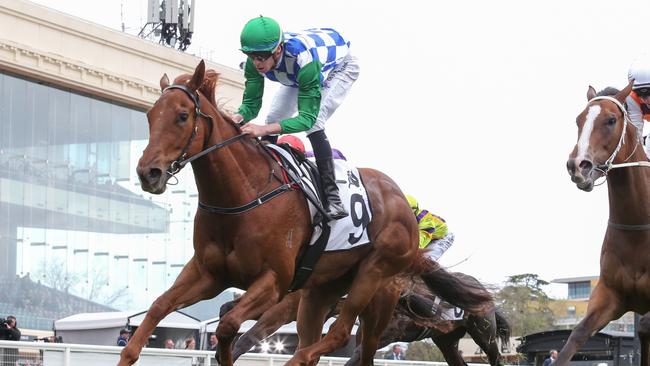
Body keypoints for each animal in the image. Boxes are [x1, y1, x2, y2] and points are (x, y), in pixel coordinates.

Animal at [117, 60, 492, 366]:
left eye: (182, 116)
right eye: (150, 116)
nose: (148, 173)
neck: (245, 195)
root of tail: (401, 201)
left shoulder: (274, 282)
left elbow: (228, 326)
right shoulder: (209, 273)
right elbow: (158, 309)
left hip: (376, 281)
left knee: (339, 336)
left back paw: (297, 359)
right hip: (320, 293)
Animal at [560, 82, 648, 366]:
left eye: (611, 120)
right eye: (578, 120)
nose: (578, 166)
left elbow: (644, 328)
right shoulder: (608, 295)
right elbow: (575, 335)